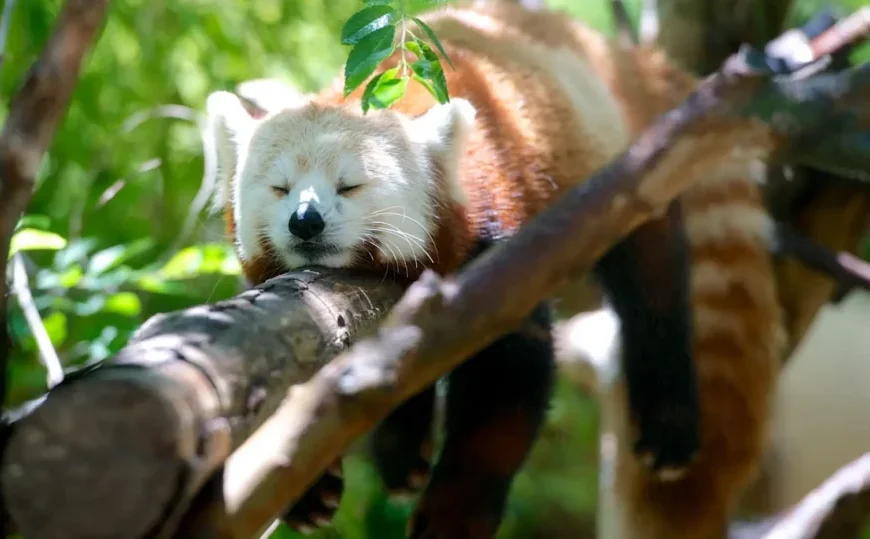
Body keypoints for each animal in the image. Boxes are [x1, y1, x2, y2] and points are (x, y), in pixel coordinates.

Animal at [208, 2, 788, 536]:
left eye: (349, 186)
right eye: (280, 188)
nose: (305, 222)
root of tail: (618, 55)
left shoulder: (497, 250)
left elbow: (506, 383)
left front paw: (452, 518)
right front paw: (308, 490)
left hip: (624, 171)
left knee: (654, 287)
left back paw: (669, 418)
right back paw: (403, 449)